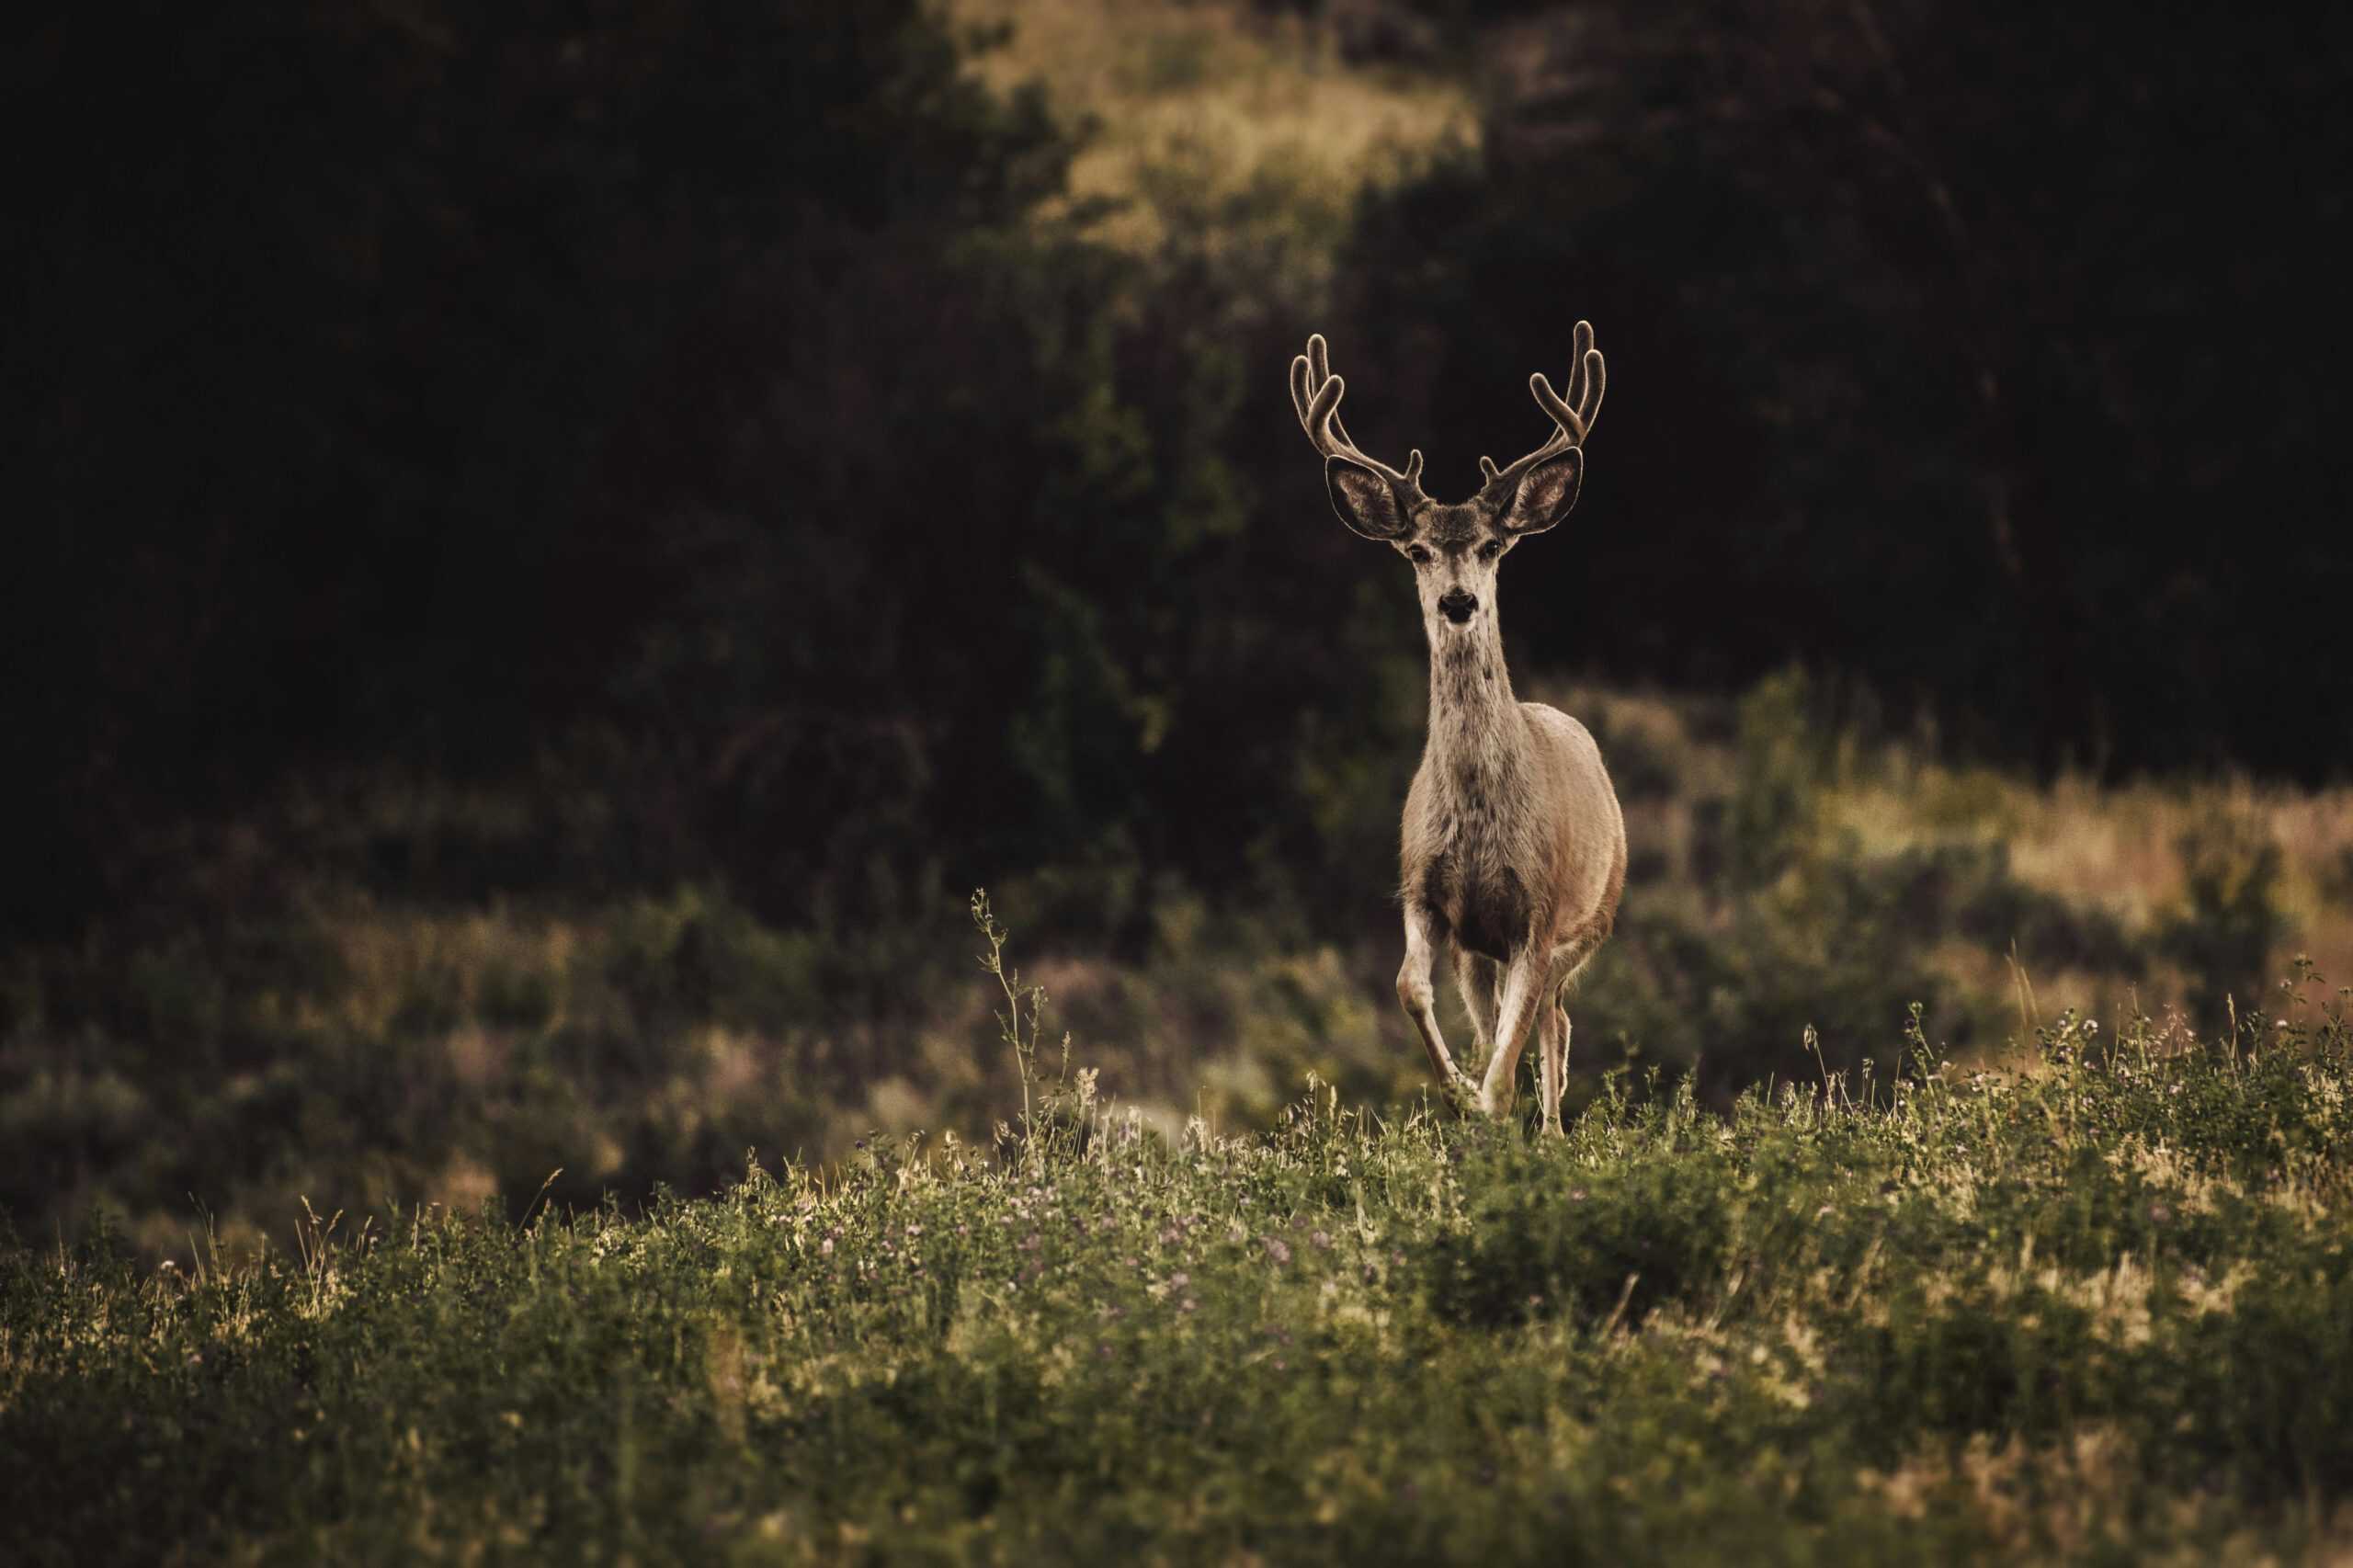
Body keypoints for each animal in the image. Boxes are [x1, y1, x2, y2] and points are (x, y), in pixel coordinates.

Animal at [1288, 322, 1626, 1133]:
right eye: (1416, 550)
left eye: (1492, 546)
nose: (1459, 601)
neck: (1477, 816)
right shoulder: (1423, 888)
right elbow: (1410, 989)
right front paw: (1458, 1096)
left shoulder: (1540, 908)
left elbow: (1515, 1048)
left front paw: (1491, 1107)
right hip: (1482, 949)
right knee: (1512, 1015)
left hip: (1594, 916)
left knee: (1552, 1018)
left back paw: (1553, 1130)